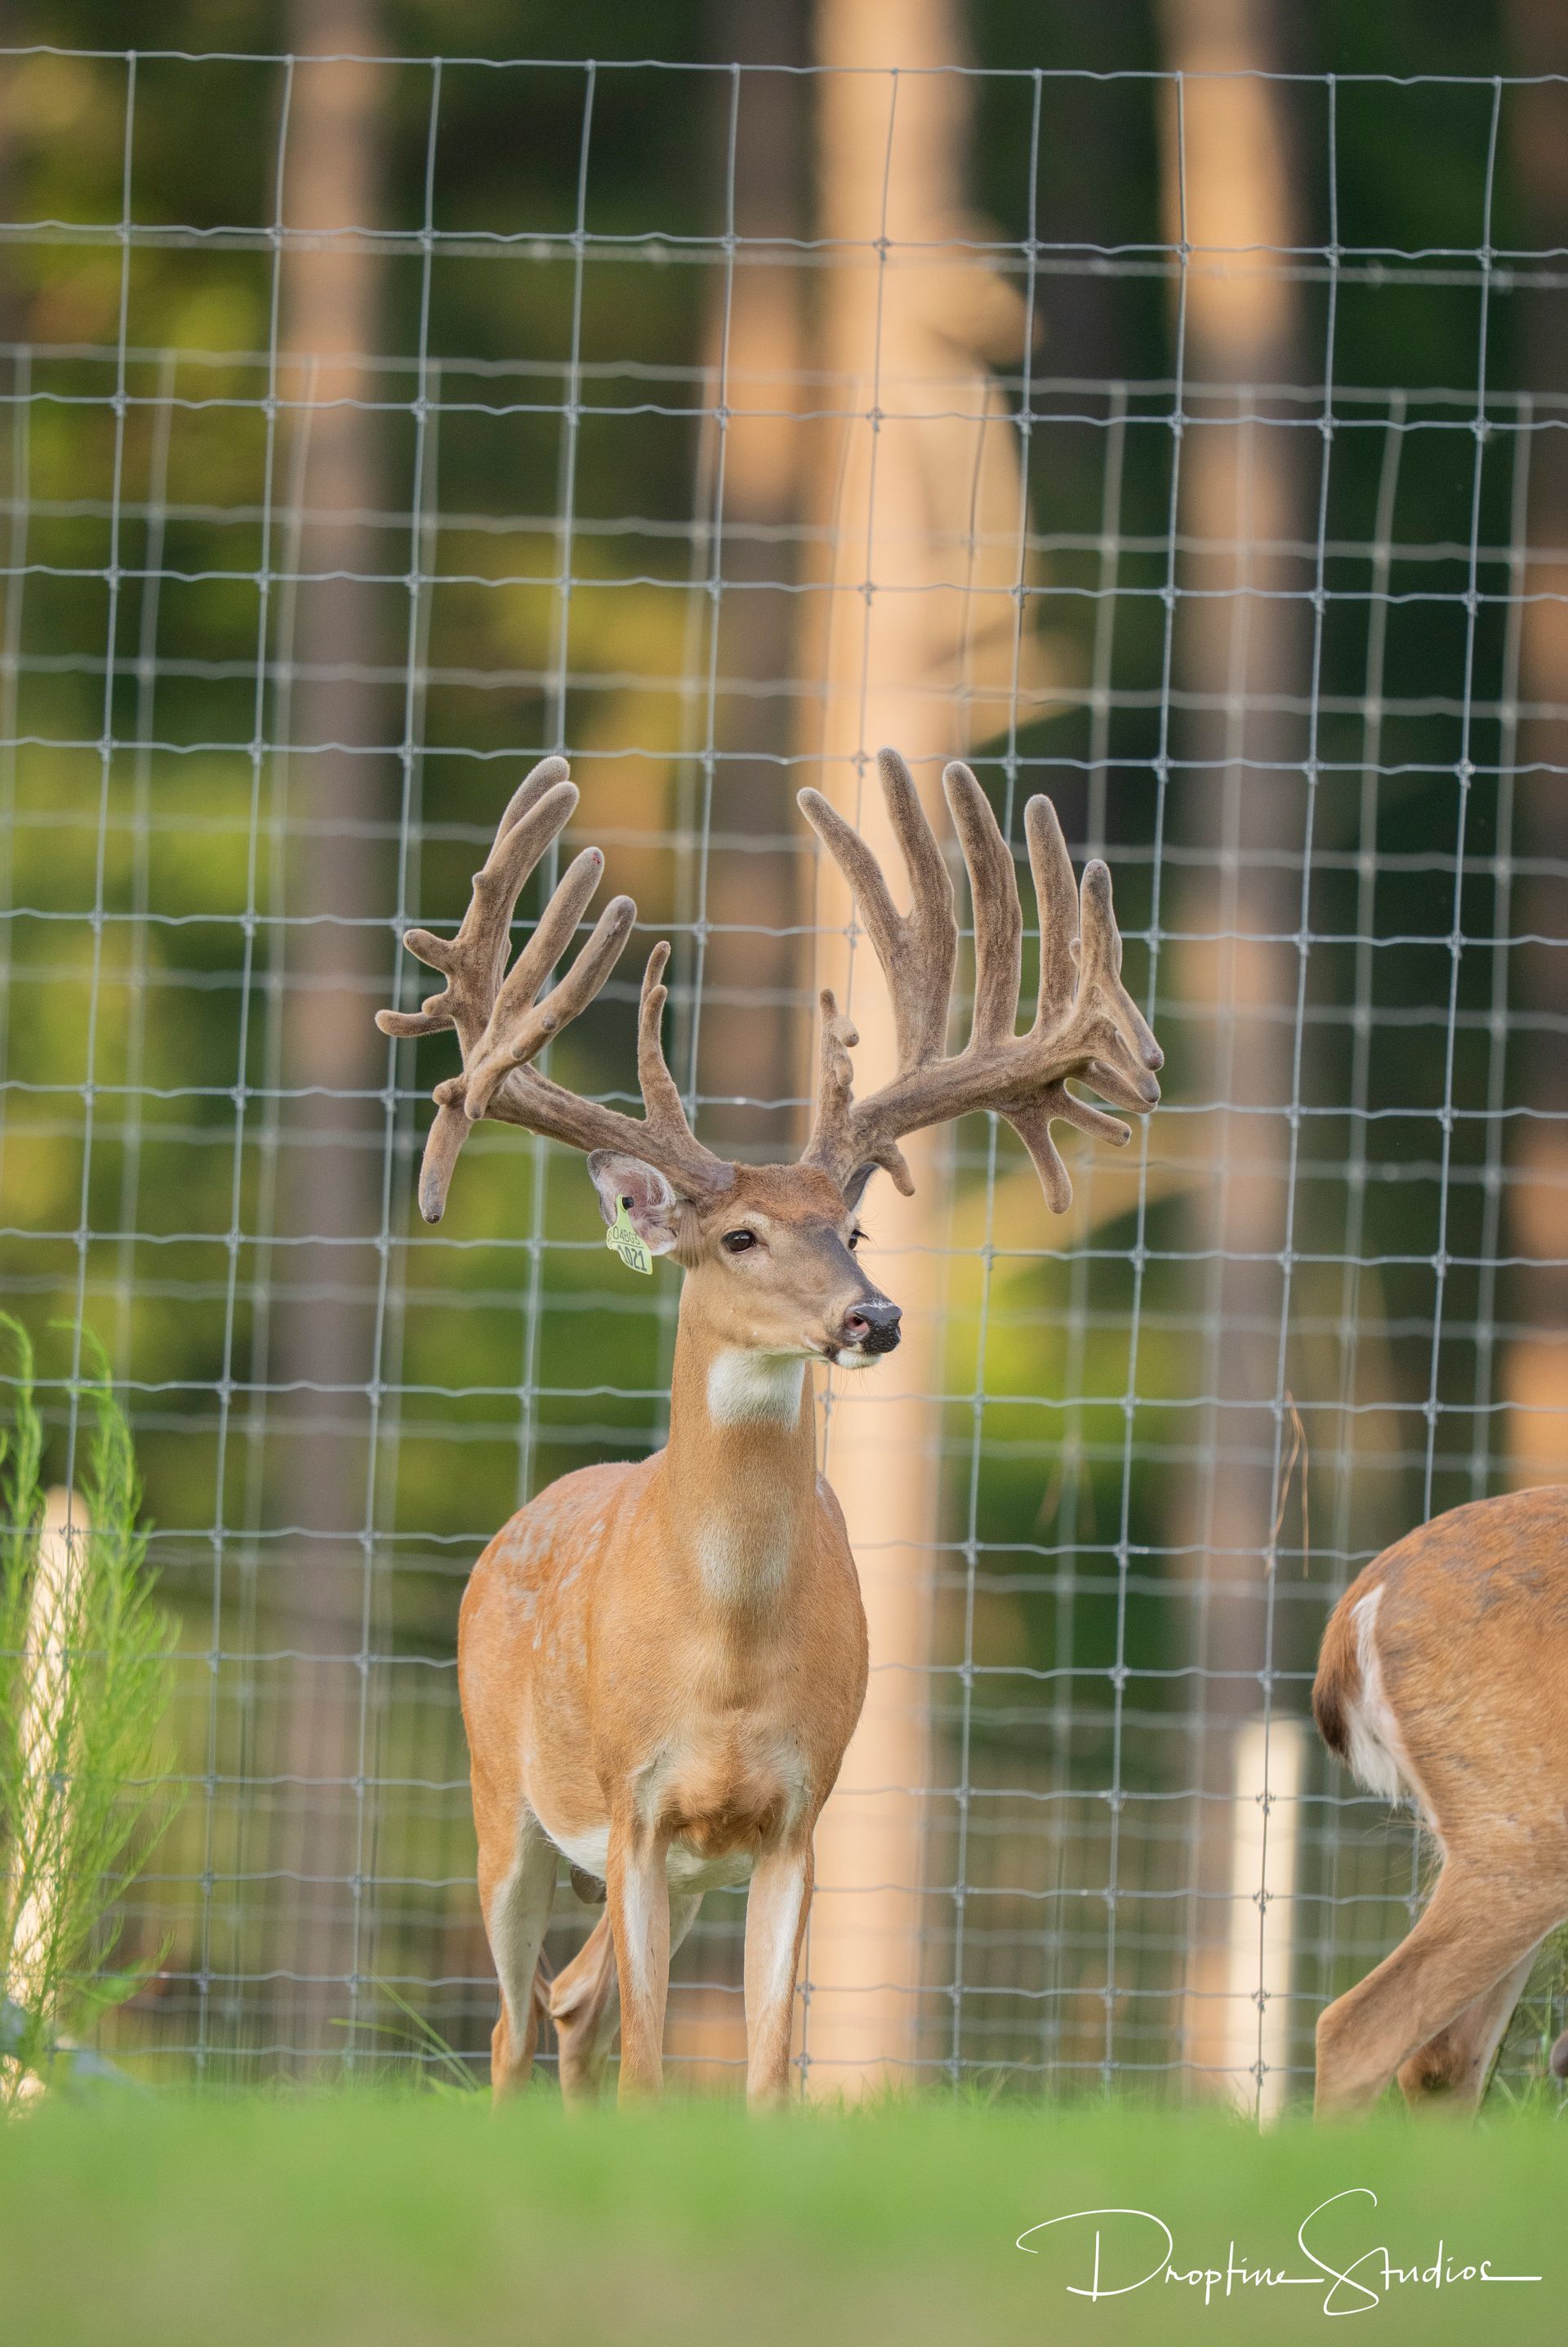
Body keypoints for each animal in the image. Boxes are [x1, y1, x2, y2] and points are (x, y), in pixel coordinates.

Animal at [377, 746, 1163, 2107]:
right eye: (739, 1234)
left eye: (851, 1226)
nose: (874, 1315)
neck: (729, 1653)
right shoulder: (635, 1807)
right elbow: (651, 2062)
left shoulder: (798, 1813)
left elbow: (763, 2072)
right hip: (500, 1795)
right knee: (518, 2021)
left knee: (573, 2001)